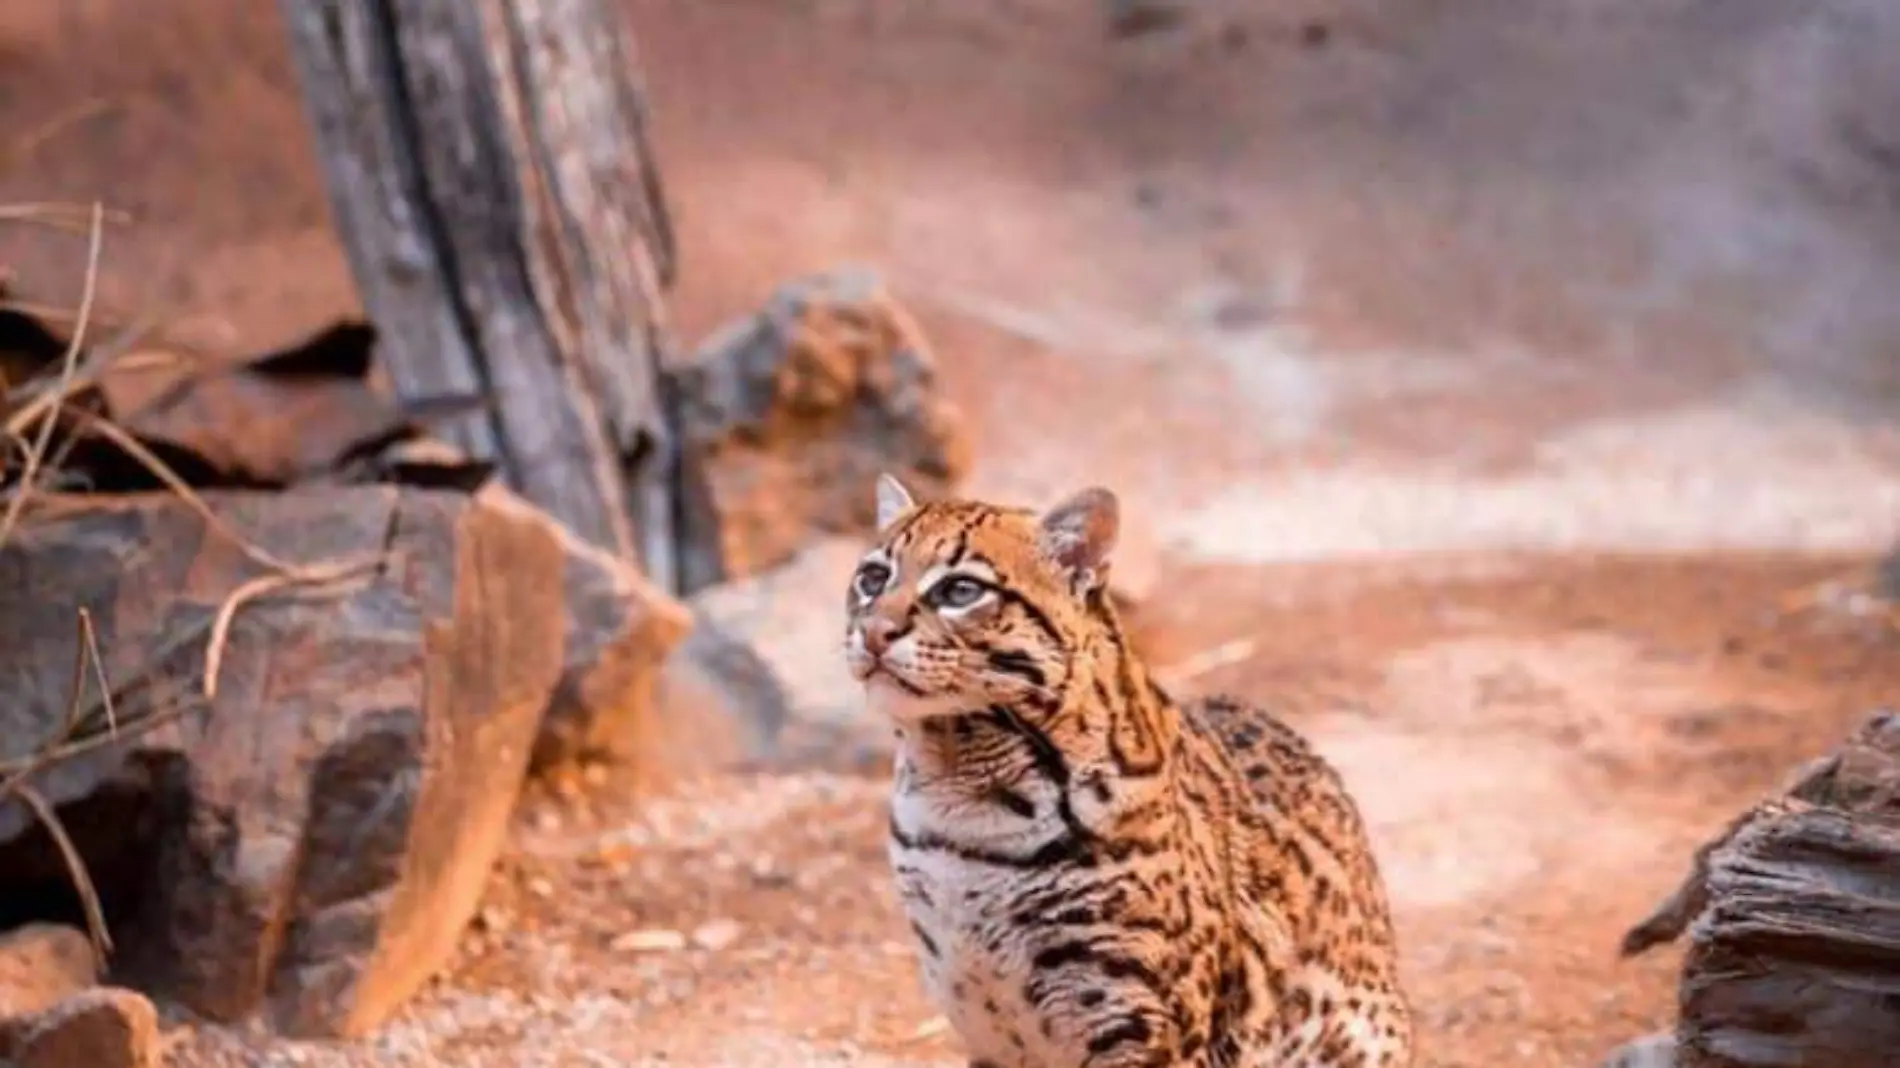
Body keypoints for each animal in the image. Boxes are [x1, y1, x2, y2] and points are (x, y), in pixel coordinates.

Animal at [843, 475, 1413, 1064]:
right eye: (872, 578)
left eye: (960, 591)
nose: (873, 632)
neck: (957, 789)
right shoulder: (980, 1017)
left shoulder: (1143, 1018)